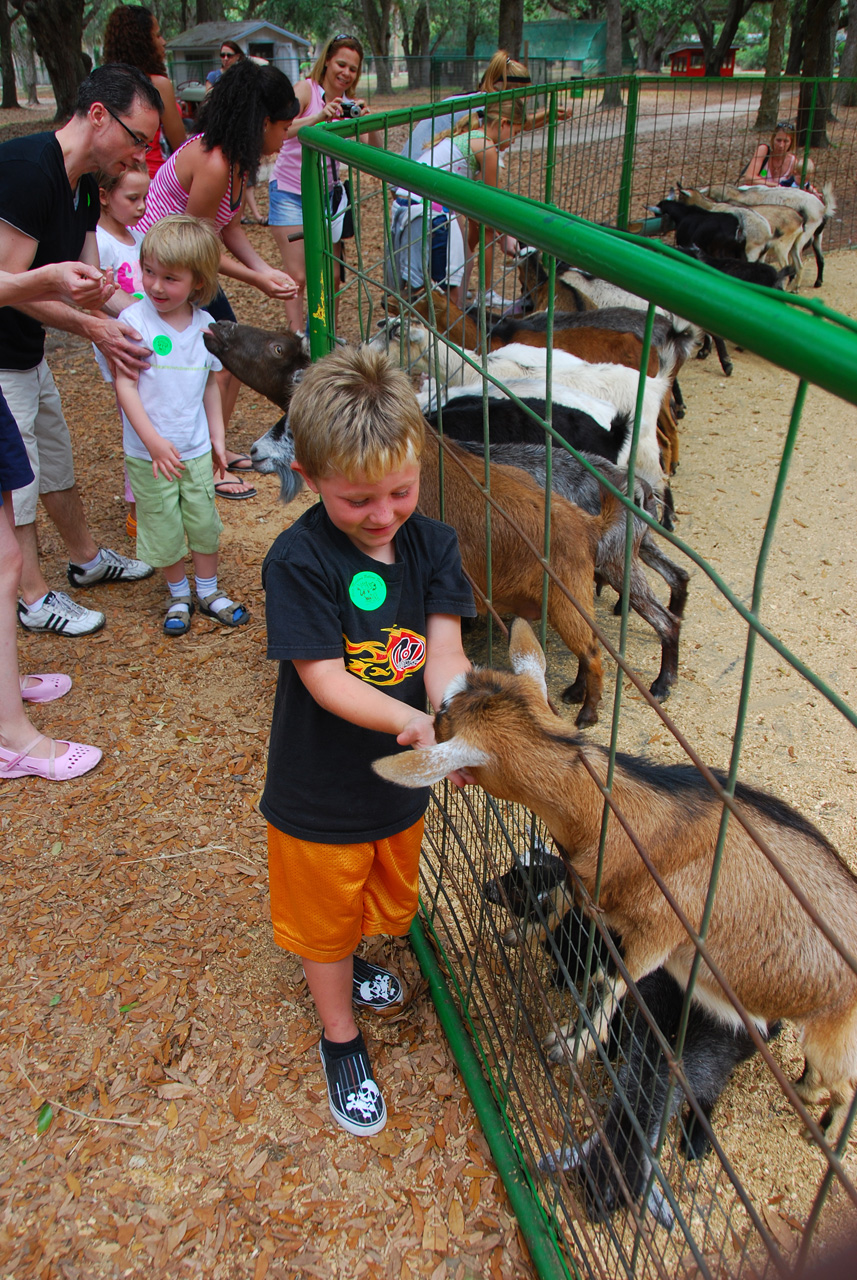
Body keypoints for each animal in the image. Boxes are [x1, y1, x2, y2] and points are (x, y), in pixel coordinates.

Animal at [378, 619, 857, 1141]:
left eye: (445, 716)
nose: (429, 718)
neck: (626, 817)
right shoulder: (588, 881)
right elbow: (560, 898)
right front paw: (518, 932)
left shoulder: (662, 933)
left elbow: (610, 984)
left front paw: (566, 1046)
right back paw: (807, 1095)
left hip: (833, 1038)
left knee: (845, 1084)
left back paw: (822, 1124)